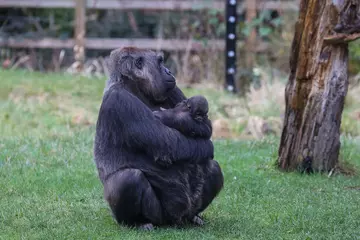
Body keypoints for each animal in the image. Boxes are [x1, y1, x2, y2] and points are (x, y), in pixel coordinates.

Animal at [93, 46, 222, 229]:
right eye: (160, 62)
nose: (169, 71)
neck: (133, 86)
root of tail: (175, 222)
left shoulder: (173, 90)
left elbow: (205, 125)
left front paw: (175, 116)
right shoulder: (120, 101)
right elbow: (169, 144)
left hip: (185, 211)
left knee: (213, 167)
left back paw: (194, 217)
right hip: (159, 217)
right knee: (128, 178)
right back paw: (138, 222)